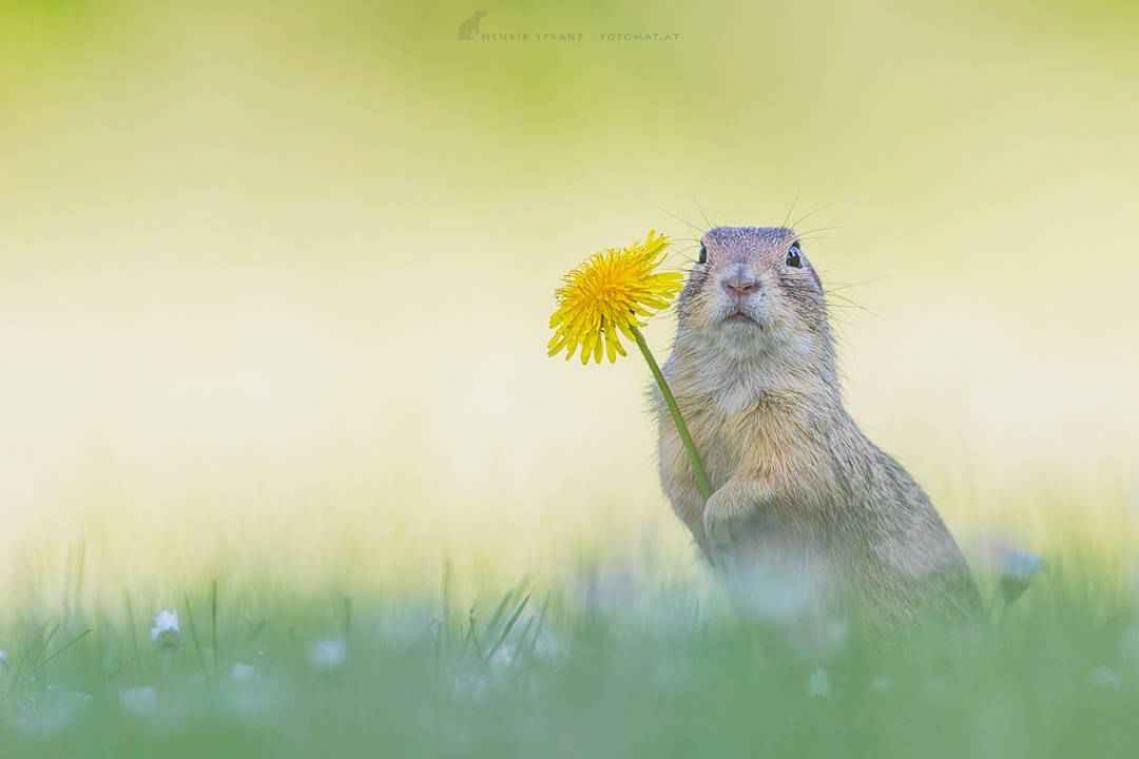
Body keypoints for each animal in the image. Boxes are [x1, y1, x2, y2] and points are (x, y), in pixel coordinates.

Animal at [656, 223, 984, 619]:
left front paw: (718, 514)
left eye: (794, 255)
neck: (738, 378)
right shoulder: (675, 428)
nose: (740, 282)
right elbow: (676, 482)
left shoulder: (804, 434)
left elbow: (778, 477)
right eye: (702, 254)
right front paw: (704, 524)